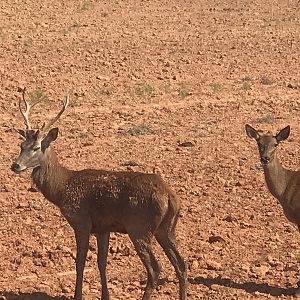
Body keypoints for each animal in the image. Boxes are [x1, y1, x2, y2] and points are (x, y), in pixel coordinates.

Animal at [11, 89, 188, 300]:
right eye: (21, 145)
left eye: (36, 147)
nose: (15, 165)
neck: (62, 189)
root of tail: (170, 197)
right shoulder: (103, 228)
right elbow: (102, 263)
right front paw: (105, 295)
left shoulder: (81, 220)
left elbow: (80, 262)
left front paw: (77, 295)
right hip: (167, 228)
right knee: (181, 264)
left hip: (139, 226)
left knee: (155, 269)